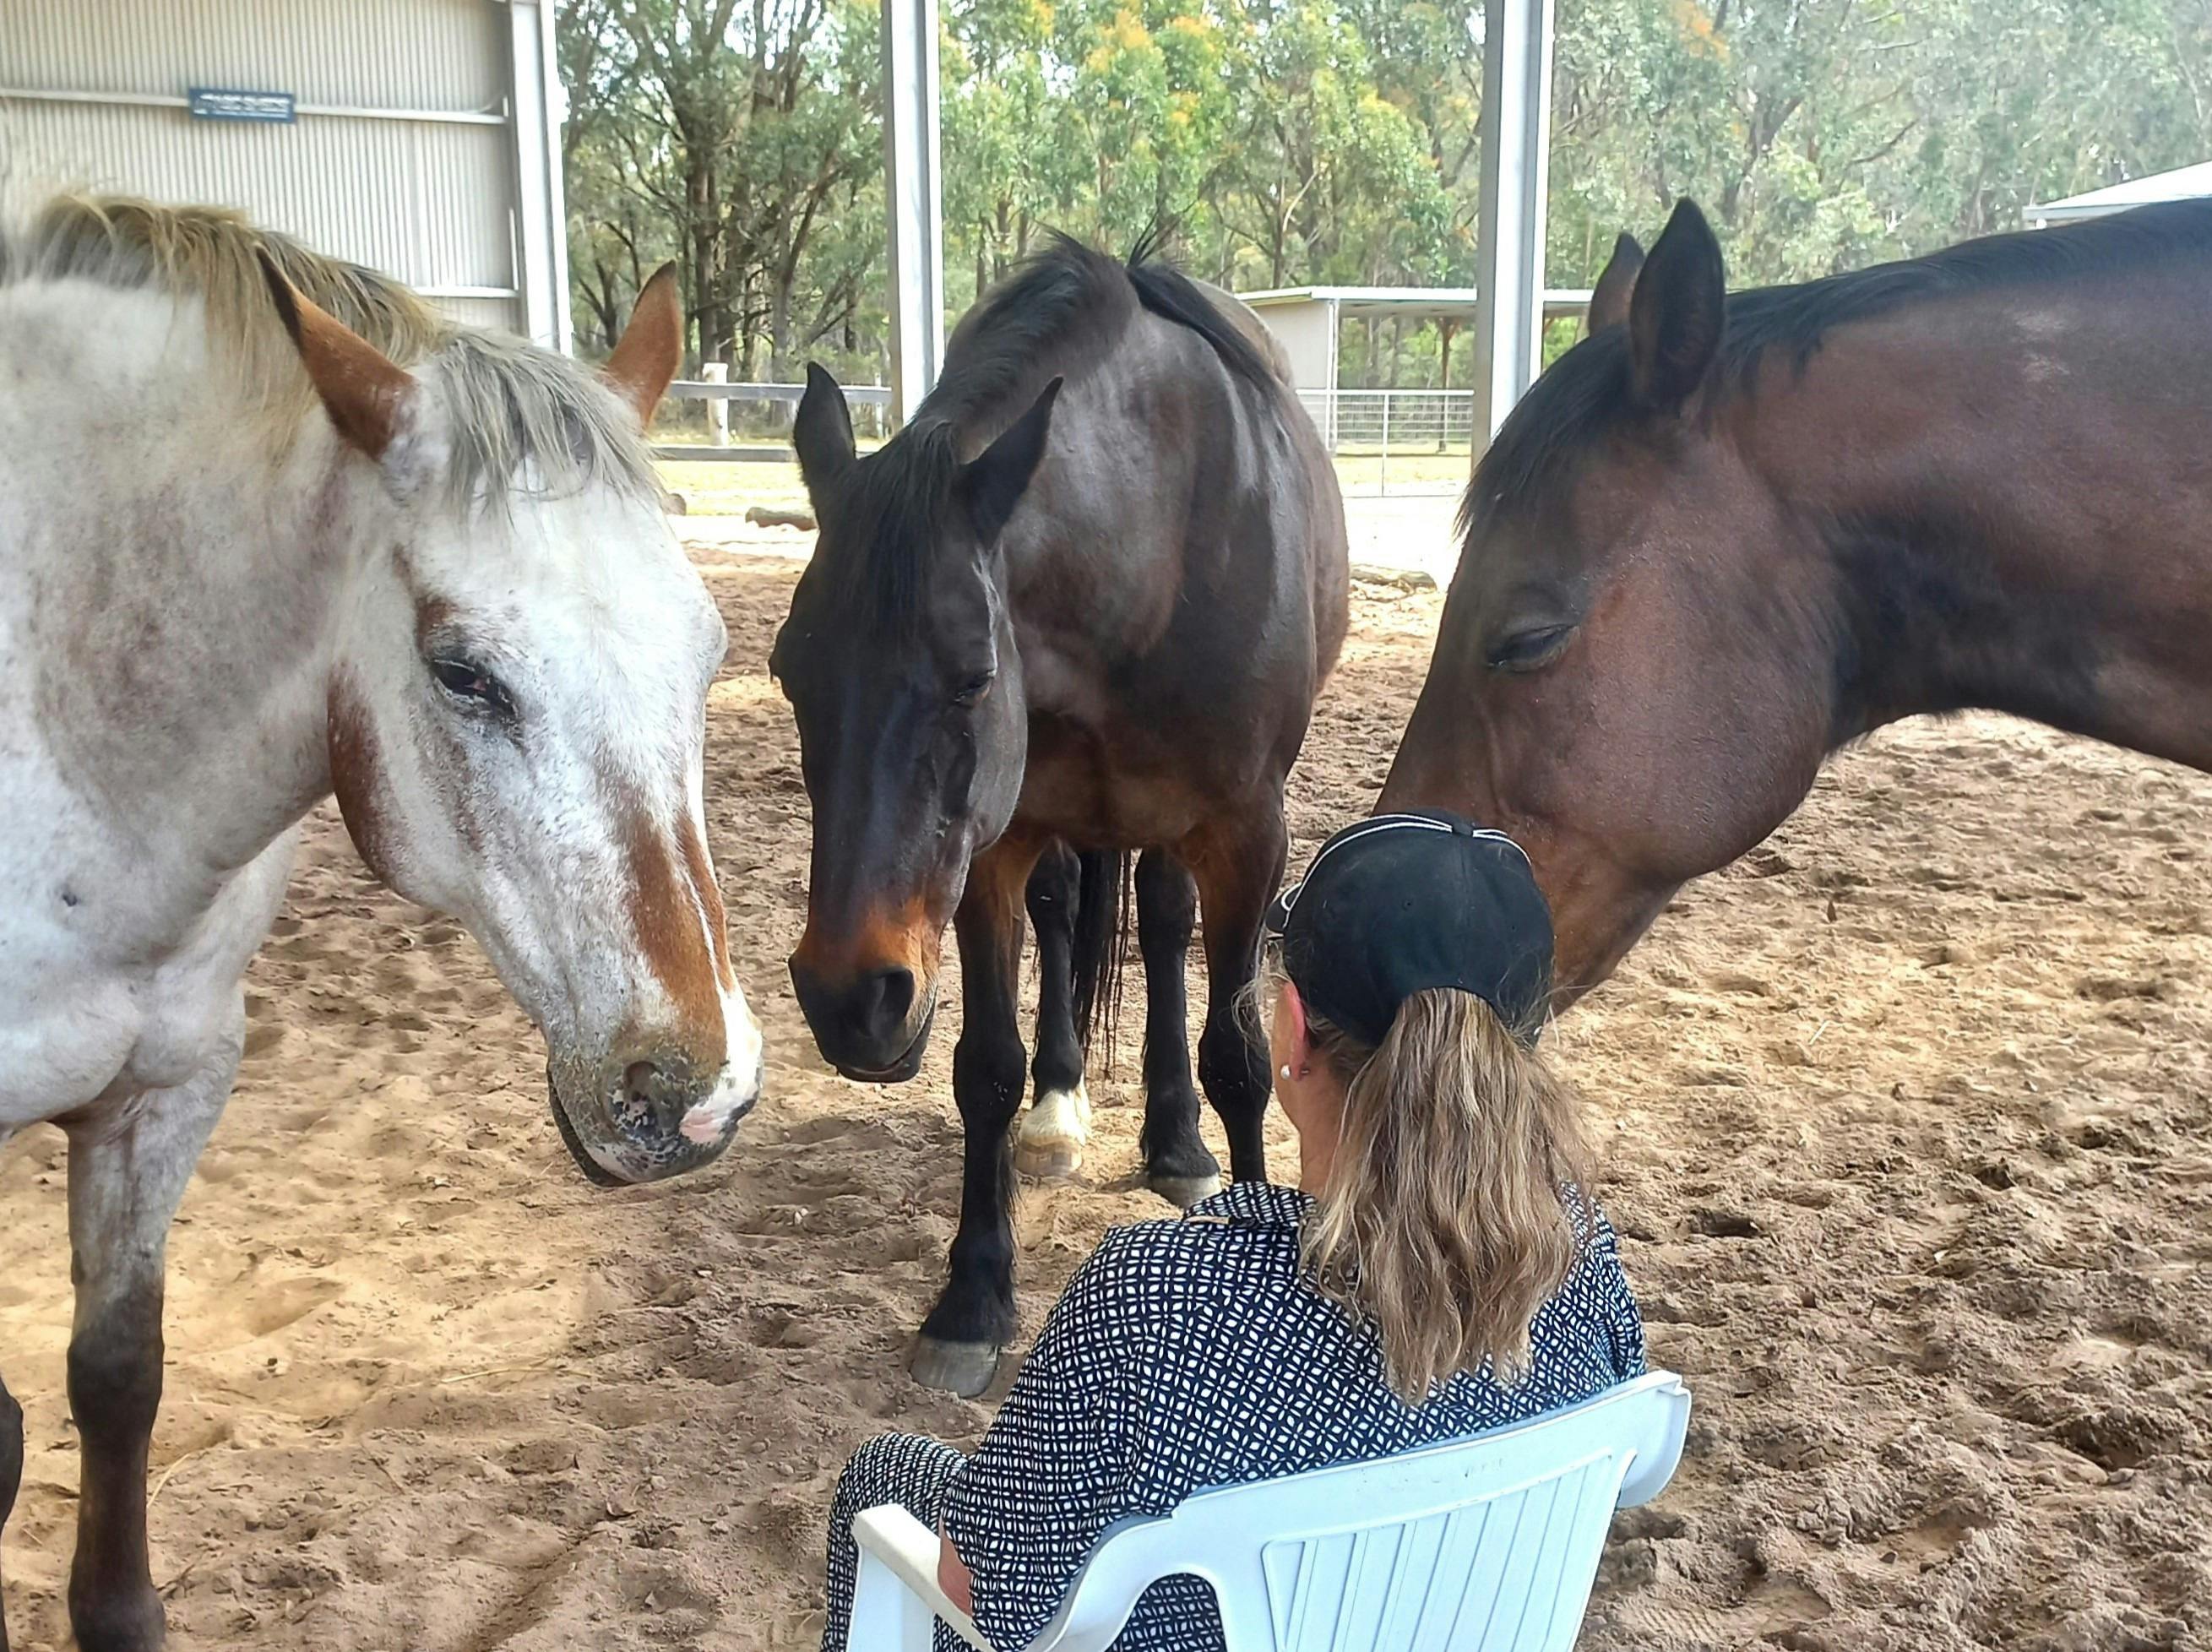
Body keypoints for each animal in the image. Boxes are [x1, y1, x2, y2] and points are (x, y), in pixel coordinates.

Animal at [775, 237, 1348, 1395]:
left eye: (970, 677)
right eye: (785, 672)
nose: (848, 1000)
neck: (1155, 549)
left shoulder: (1247, 837)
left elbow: (1239, 1055)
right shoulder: (989, 853)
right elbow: (985, 1066)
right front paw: (973, 1296)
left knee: (1163, 931)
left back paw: (1175, 1142)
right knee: (1068, 917)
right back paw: (1062, 1108)